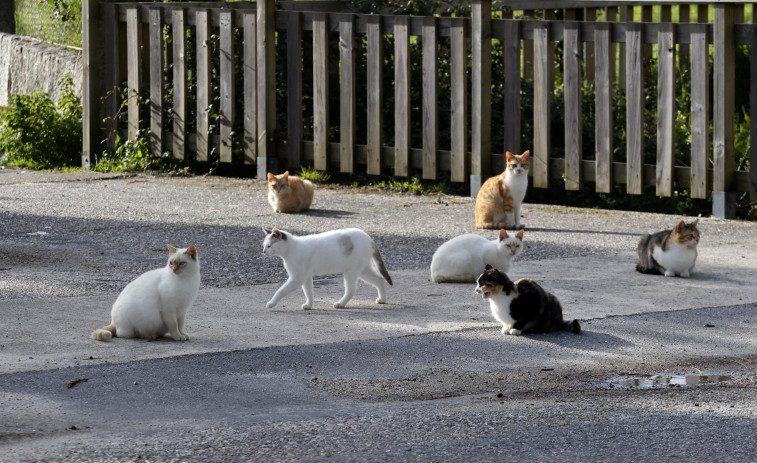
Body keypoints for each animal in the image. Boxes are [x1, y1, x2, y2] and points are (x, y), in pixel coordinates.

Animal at [262, 227, 392, 310]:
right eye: (264, 246)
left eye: (269, 246)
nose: (263, 251)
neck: (291, 249)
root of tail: (369, 238)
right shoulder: (306, 277)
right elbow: (309, 293)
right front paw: (309, 305)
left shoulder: (297, 278)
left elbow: (280, 291)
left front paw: (271, 303)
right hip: (363, 270)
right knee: (379, 280)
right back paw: (382, 299)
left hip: (351, 271)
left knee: (351, 290)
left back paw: (340, 304)